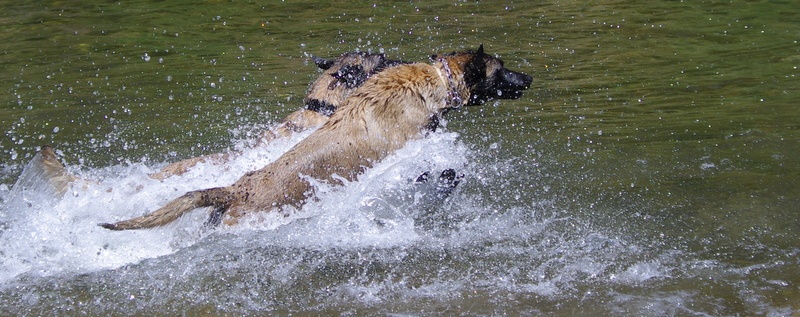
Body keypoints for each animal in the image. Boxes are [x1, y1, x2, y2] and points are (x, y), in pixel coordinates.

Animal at [100, 45, 536, 230]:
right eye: (501, 68)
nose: (530, 78)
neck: (435, 83)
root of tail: (235, 190)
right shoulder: (404, 151)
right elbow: (431, 173)